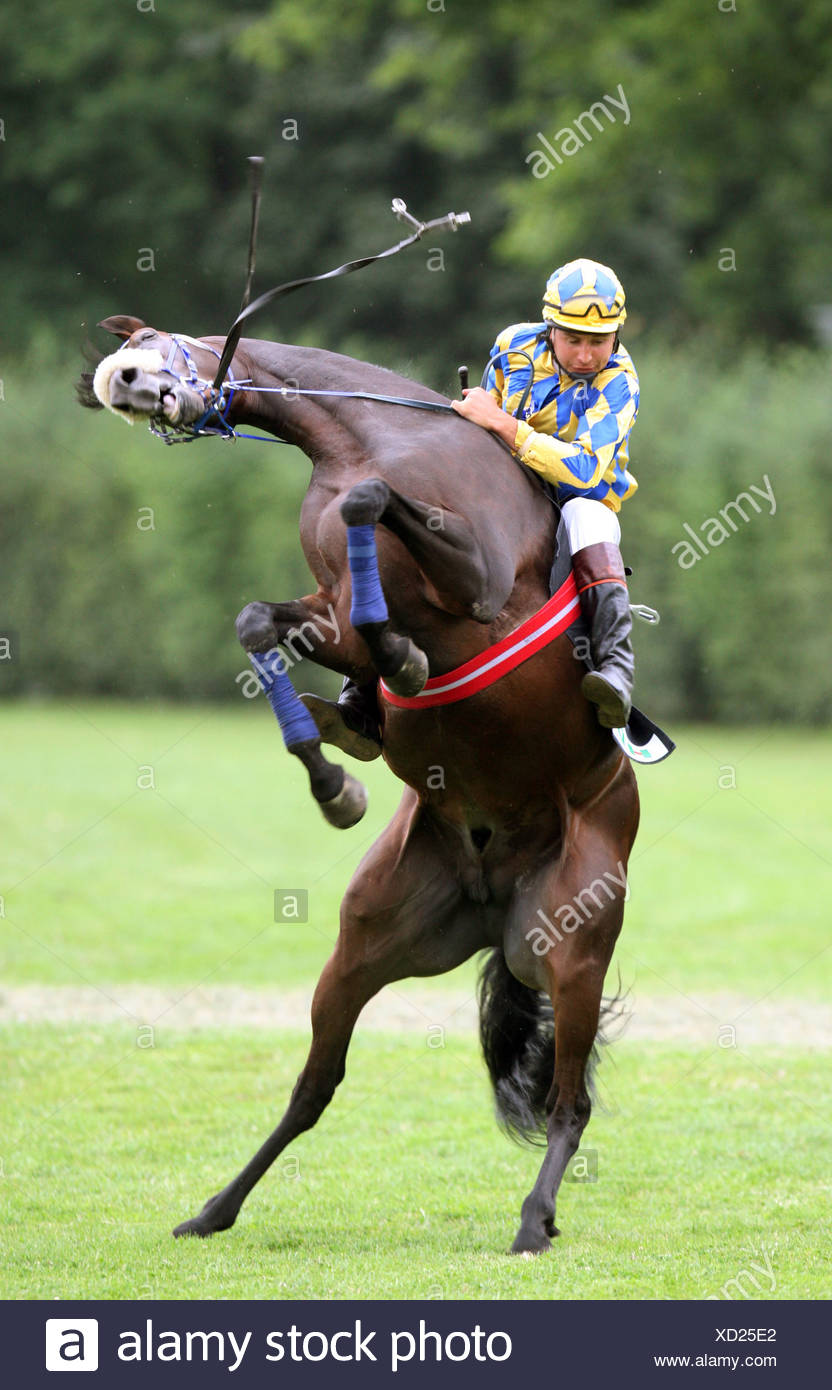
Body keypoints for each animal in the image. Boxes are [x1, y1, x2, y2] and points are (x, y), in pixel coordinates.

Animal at [78, 315, 640, 1255]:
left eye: (155, 341)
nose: (118, 381)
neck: (363, 435)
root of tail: (494, 894)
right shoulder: (329, 608)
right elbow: (264, 620)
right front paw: (336, 766)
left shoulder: (476, 575)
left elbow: (371, 506)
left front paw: (399, 661)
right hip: (366, 942)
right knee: (315, 1087)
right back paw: (215, 1208)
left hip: (574, 943)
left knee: (571, 1103)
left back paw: (534, 1220)